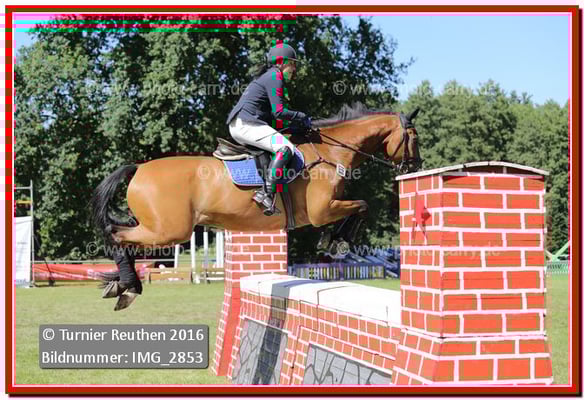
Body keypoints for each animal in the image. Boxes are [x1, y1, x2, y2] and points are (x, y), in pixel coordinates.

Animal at [90, 103, 422, 310]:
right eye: (413, 138)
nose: (415, 166)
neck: (332, 152)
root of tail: (139, 168)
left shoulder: (329, 208)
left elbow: (361, 207)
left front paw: (333, 239)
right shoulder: (322, 211)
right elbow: (364, 206)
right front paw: (337, 241)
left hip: (160, 227)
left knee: (117, 233)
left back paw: (120, 286)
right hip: (168, 230)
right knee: (117, 235)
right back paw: (129, 287)